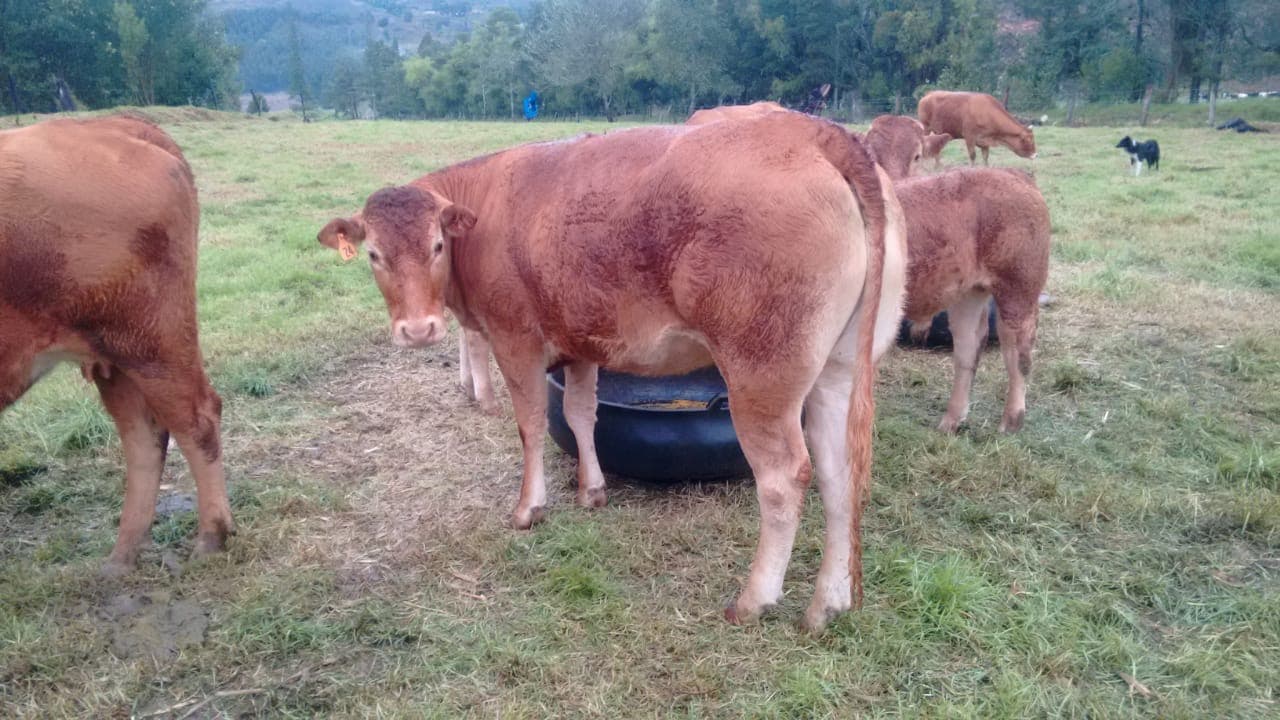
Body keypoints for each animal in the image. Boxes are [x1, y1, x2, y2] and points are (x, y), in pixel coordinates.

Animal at [0, 115, 234, 575]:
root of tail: (115, 124)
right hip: (115, 359)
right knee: (145, 436)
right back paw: (122, 557)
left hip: (150, 346)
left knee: (195, 420)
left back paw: (211, 538)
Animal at [318, 111, 908, 631]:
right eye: (374, 254)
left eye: (437, 245)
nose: (417, 330)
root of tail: (815, 132)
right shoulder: (580, 342)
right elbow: (581, 415)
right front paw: (592, 491)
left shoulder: (515, 340)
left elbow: (531, 425)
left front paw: (529, 508)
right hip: (838, 369)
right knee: (838, 471)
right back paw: (828, 605)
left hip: (761, 374)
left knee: (784, 479)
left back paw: (753, 601)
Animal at [894, 167, 1050, 433]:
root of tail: (1014, 173)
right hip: (970, 294)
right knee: (969, 346)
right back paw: (950, 422)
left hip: (1018, 290)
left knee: (1018, 353)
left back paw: (1010, 423)